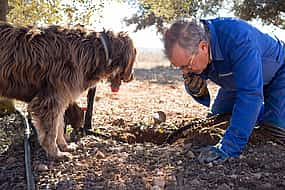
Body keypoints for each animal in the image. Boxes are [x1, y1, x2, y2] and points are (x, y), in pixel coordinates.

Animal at [0, 22, 136, 159]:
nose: (132, 77)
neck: (100, 49)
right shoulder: (50, 101)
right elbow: (51, 131)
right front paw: (55, 153)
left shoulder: (61, 99)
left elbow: (59, 125)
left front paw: (64, 146)